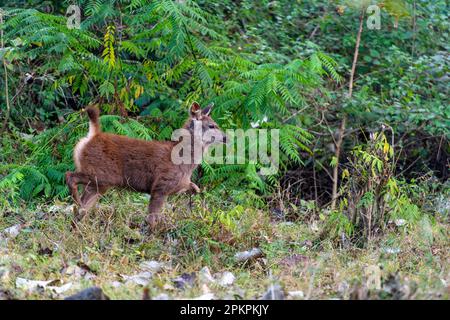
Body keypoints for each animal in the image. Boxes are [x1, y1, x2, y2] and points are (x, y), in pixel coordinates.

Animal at [66, 102, 229, 230]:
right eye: (211, 125)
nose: (226, 137)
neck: (184, 163)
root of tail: (91, 137)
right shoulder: (161, 185)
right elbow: (151, 219)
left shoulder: (179, 185)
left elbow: (196, 188)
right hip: (101, 174)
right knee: (70, 176)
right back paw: (76, 204)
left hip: (99, 183)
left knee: (84, 206)